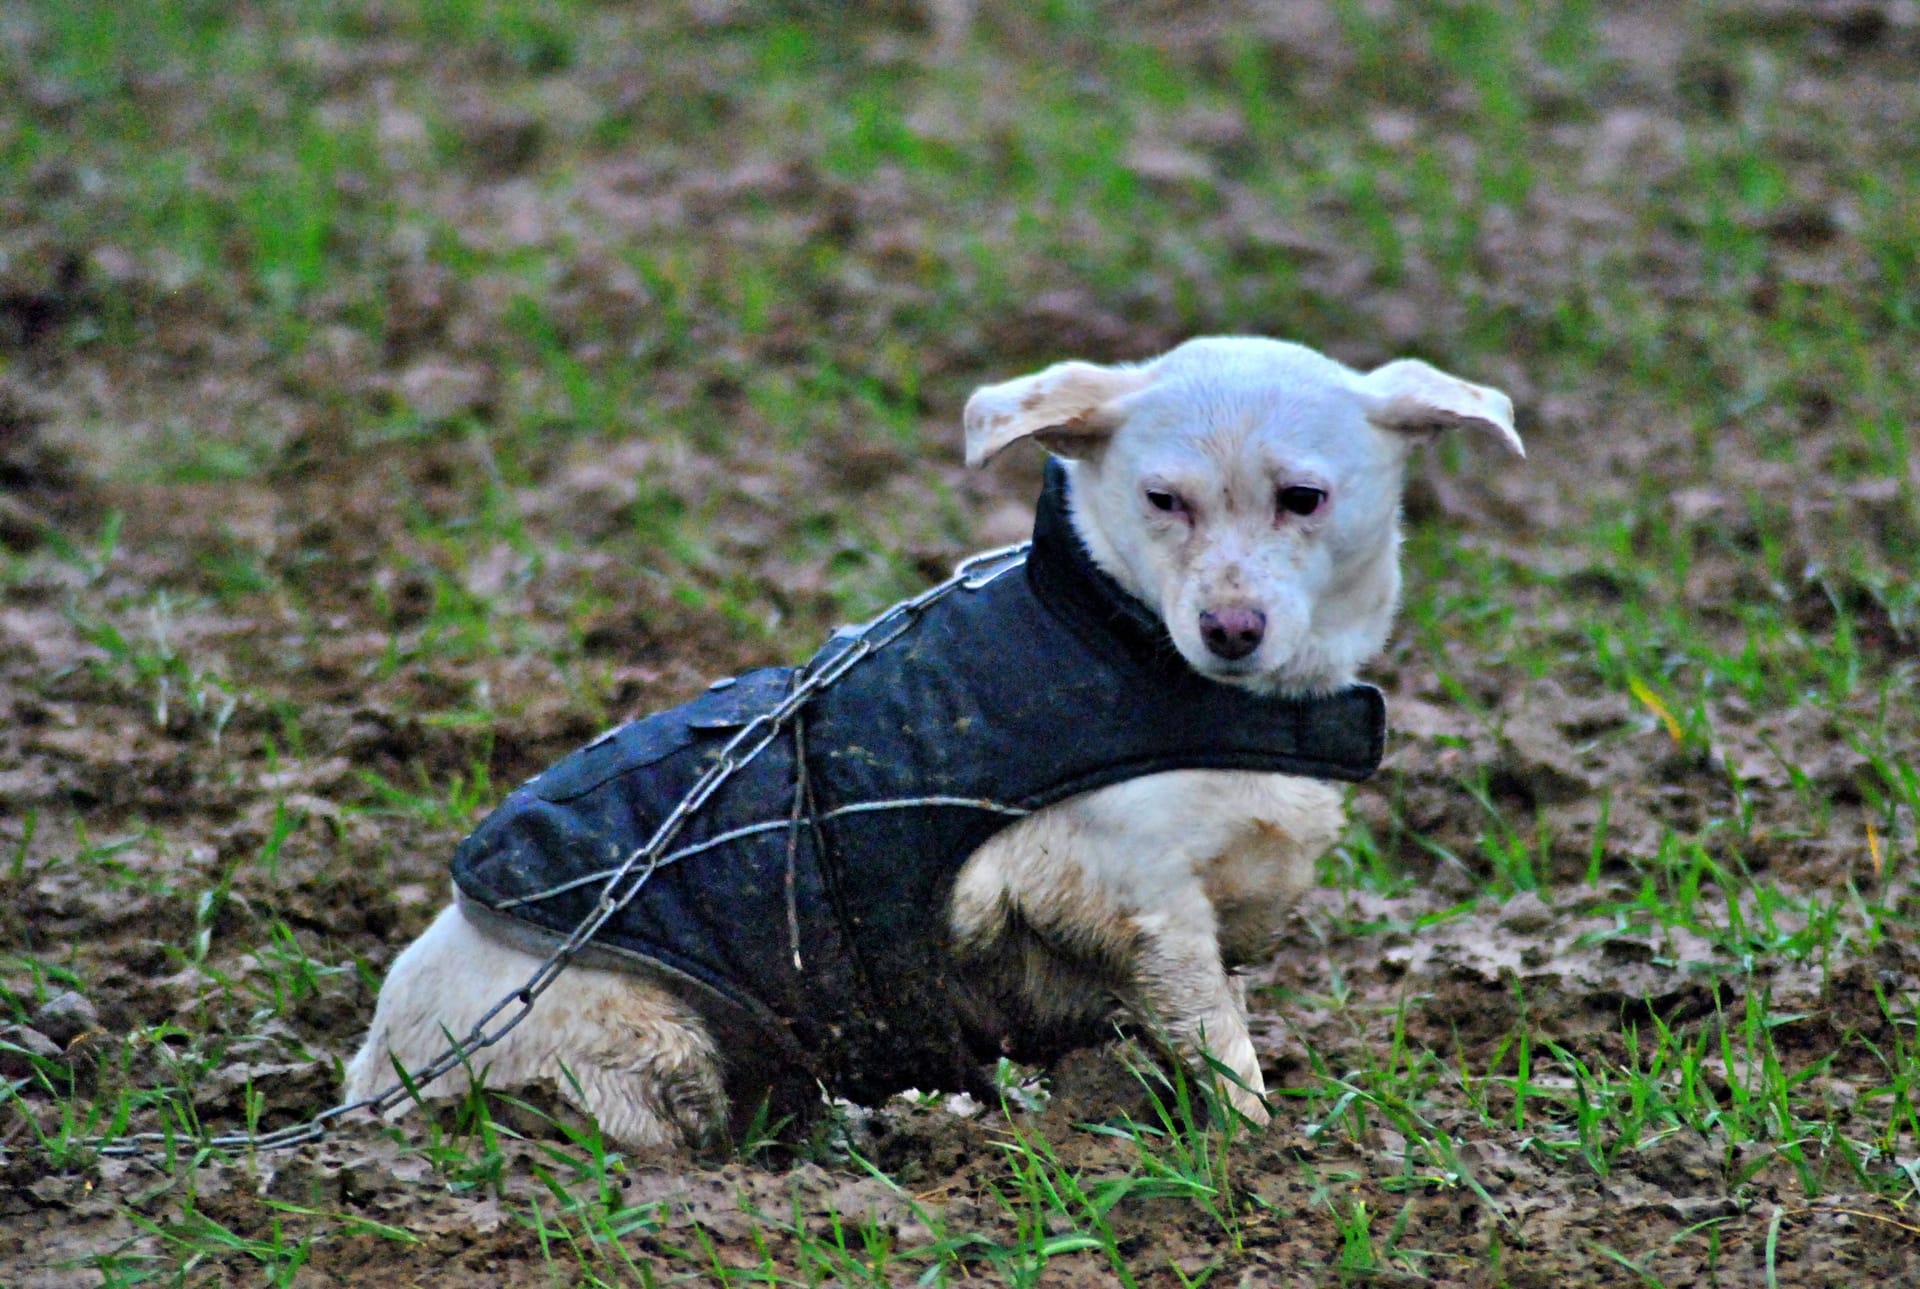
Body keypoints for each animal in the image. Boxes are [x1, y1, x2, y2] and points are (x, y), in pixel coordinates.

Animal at [341, 336, 1512, 1152]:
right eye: (1162, 499)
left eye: (1304, 498)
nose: (1230, 628)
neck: (1126, 639)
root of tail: (370, 1083)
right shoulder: (1138, 897)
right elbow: (1218, 1040)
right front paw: (1259, 1152)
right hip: (643, 1042)